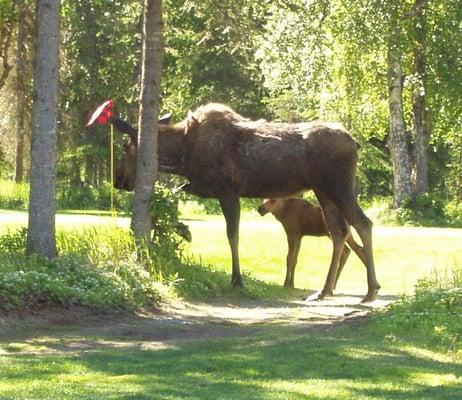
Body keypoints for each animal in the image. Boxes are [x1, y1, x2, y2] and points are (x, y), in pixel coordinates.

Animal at [88, 101, 380, 302]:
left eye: (125, 147)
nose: (118, 179)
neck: (182, 154)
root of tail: (356, 143)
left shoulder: (227, 189)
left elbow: (232, 235)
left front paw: (237, 278)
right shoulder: (204, 187)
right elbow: (178, 192)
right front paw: (180, 229)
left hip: (337, 186)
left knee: (363, 224)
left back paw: (371, 289)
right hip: (323, 190)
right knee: (340, 231)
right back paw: (325, 290)